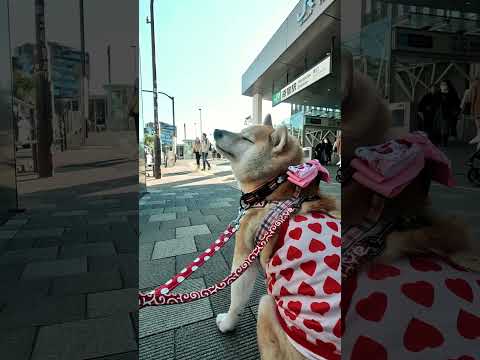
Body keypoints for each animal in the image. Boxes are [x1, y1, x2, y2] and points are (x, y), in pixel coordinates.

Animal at [214, 116, 342, 360]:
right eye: (241, 131)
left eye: (245, 138)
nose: (215, 131)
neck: (273, 191)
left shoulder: (245, 253)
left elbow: (237, 298)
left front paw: (227, 323)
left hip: (266, 305)